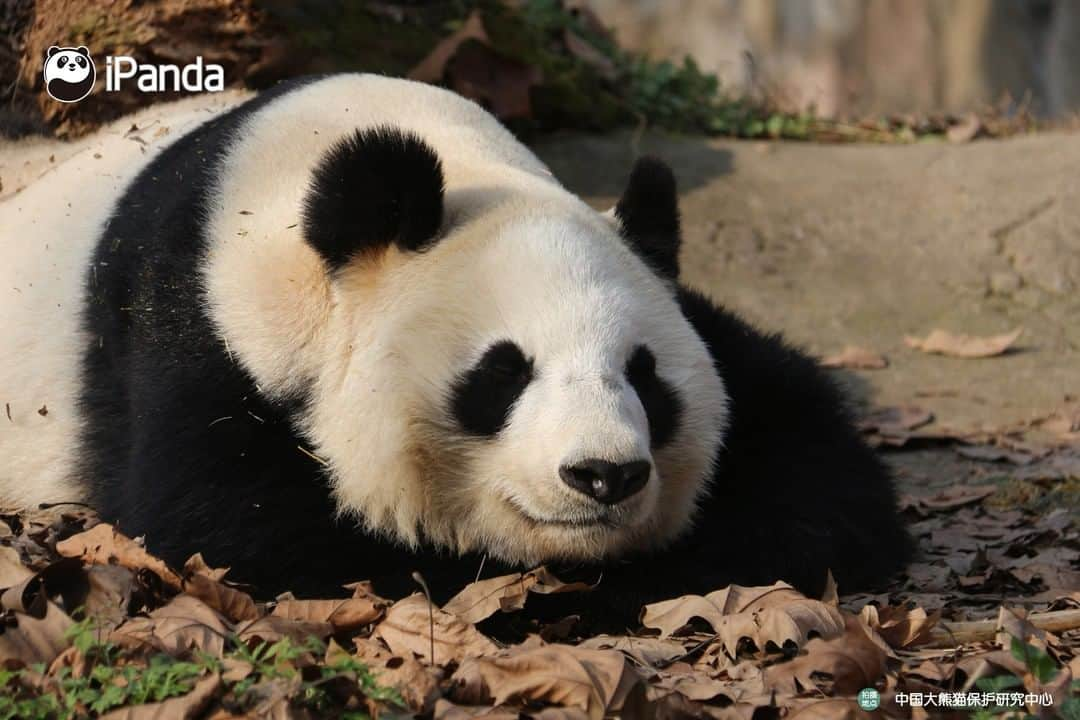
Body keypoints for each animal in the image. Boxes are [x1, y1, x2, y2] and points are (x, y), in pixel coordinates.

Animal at [0, 74, 911, 613]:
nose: (604, 475)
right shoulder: (197, 324)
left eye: (645, 378)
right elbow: (235, 523)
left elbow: (821, 473)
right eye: (502, 372)